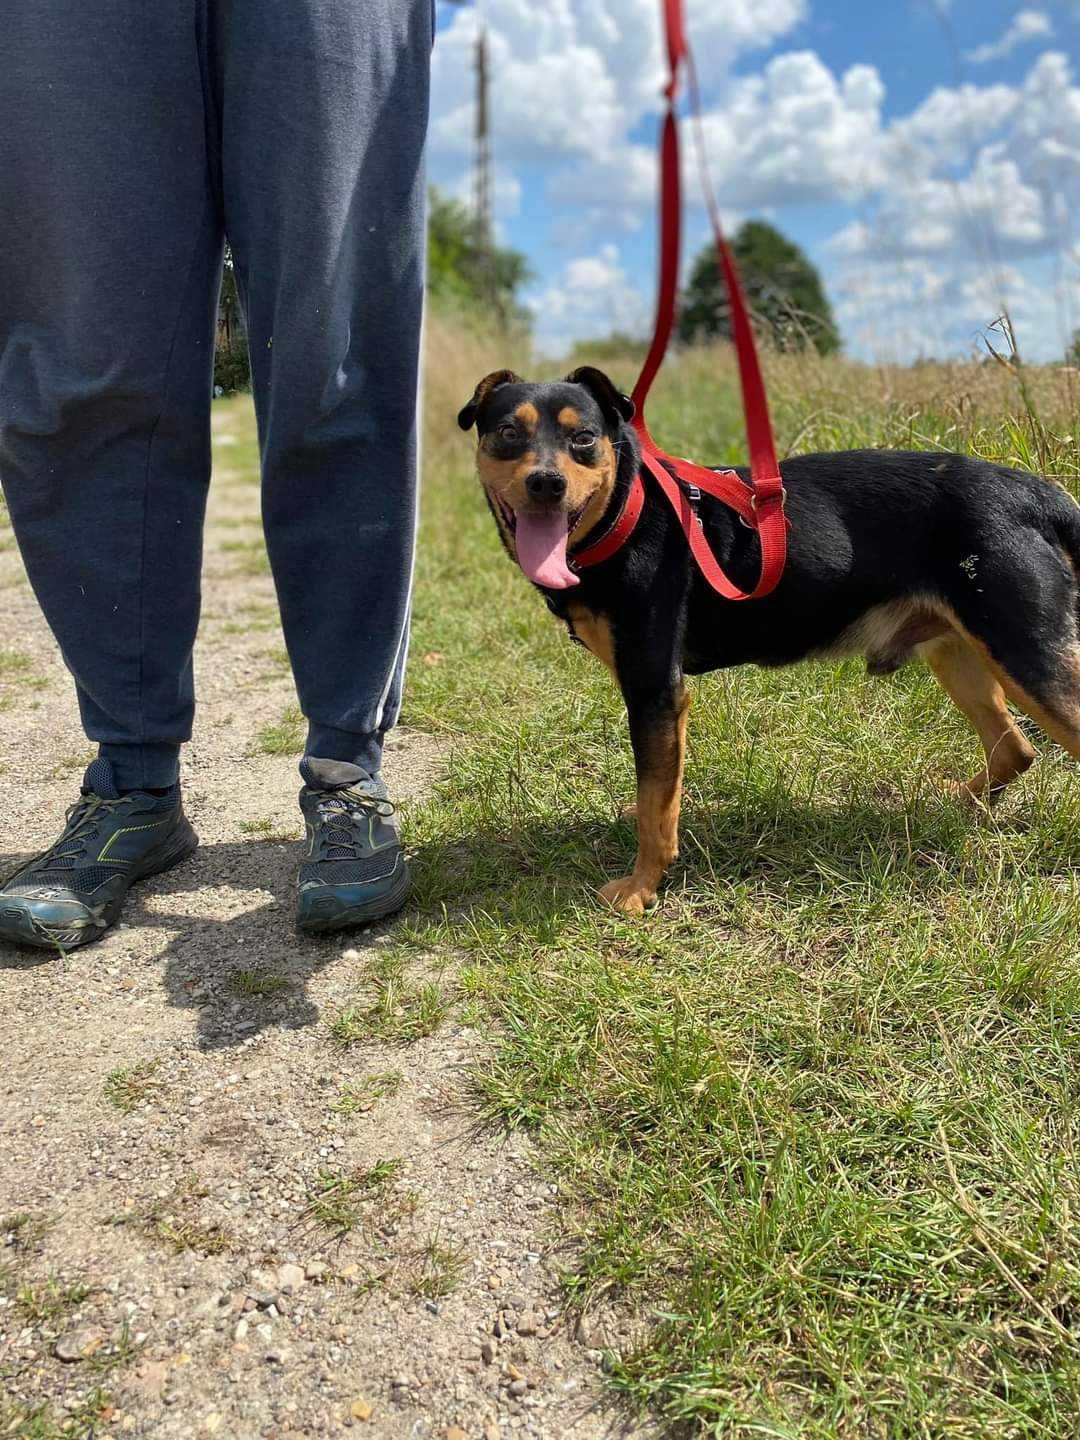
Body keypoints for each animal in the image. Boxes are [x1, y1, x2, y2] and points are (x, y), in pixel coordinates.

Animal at [460, 365, 1080, 915]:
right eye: (507, 433)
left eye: (583, 439)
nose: (546, 482)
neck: (624, 513)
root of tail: (1038, 493)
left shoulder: (655, 690)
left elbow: (654, 807)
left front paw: (640, 890)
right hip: (958, 651)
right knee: (1014, 749)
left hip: (1028, 653)